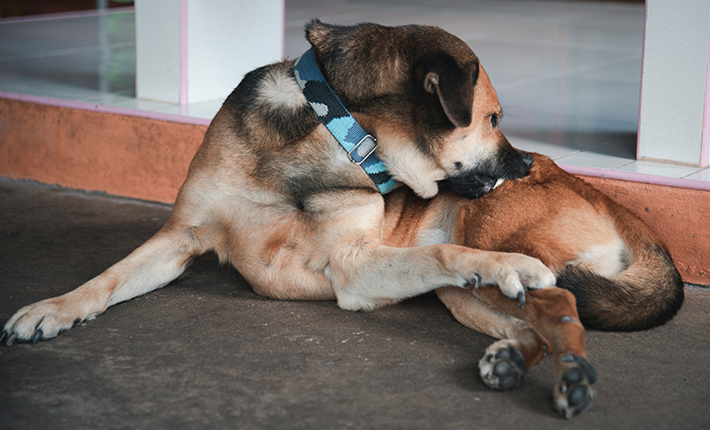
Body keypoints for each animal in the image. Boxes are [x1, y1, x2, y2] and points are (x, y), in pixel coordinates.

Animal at [384, 151, 688, 416]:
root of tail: (597, 194)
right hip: (459, 284)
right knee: (543, 330)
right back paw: (513, 362)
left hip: (487, 245)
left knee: (560, 305)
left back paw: (571, 380)